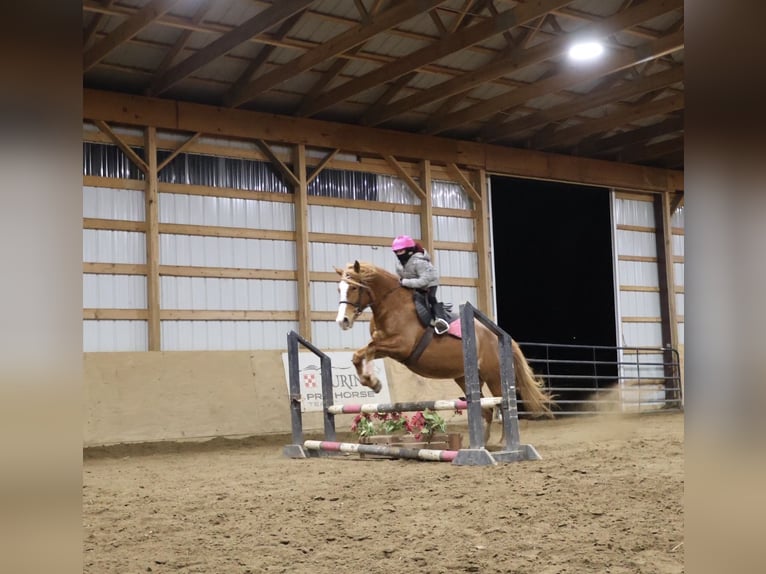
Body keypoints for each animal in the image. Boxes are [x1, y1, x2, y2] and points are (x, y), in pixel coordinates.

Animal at [334, 260, 553, 444]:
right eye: (339, 289)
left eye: (354, 287)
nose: (342, 321)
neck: (391, 305)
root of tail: (501, 336)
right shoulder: (386, 348)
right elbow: (361, 354)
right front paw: (373, 382)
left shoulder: (400, 346)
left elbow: (365, 352)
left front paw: (373, 381)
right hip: (465, 378)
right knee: (487, 409)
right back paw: (482, 442)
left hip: (494, 376)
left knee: (501, 405)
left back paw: (505, 442)